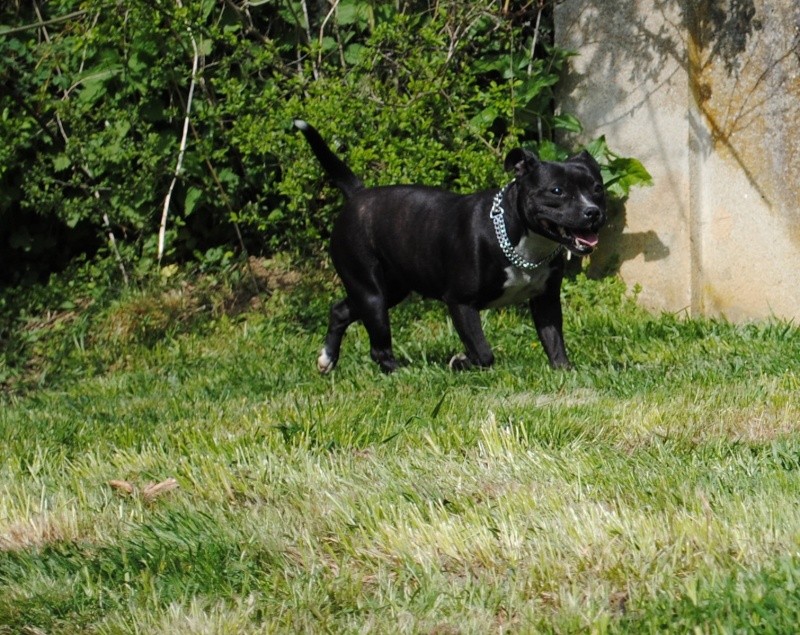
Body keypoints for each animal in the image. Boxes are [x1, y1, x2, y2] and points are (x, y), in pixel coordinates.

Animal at [296, 119, 608, 372]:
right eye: (557, 191)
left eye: (597, 188)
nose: (592, 212)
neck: (518, 241)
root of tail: (357, 194)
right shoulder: (460, 302)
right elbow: (482, 352)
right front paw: (461, 361)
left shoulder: (546, 300)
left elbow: (553, 341)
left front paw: (563, 370)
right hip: (370, 291)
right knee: (379, 347)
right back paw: (401, 372)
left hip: (389, 289)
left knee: (341, 310)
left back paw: (327, 359)